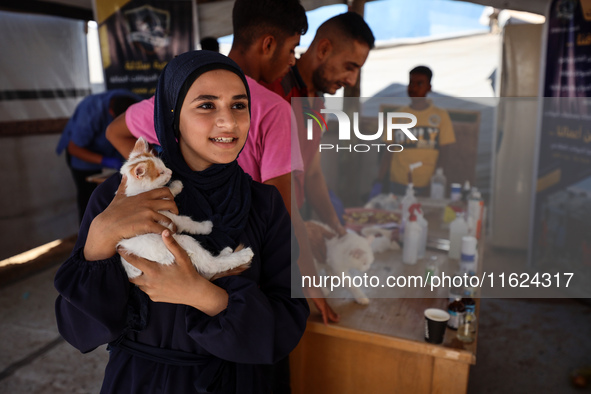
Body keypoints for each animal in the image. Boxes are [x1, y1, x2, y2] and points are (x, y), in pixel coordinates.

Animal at [117, 138, 253, 280]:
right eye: (161, 172)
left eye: (164, 166)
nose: (171, 172)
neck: (138, 191)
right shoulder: (167, 216)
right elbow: (187, 222)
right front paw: (205, 227)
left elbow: (167, 191)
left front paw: (176, 186)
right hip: (180, 242)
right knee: (210, 265)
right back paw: (243, 255)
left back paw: (226, 252)